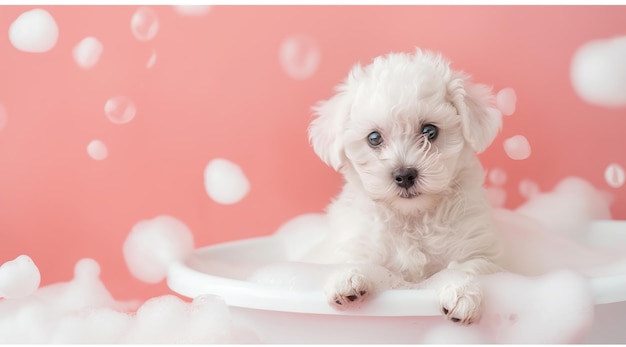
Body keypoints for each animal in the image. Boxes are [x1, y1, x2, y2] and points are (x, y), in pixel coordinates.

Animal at [306, 49, 502, 326]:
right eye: (374, 138)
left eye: (429, 131)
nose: (404, 175)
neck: (412, 217)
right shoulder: (358, 241)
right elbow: (365, 261)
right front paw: (348, 278)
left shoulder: (479, 252)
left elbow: (464, 267)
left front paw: (461, 292)